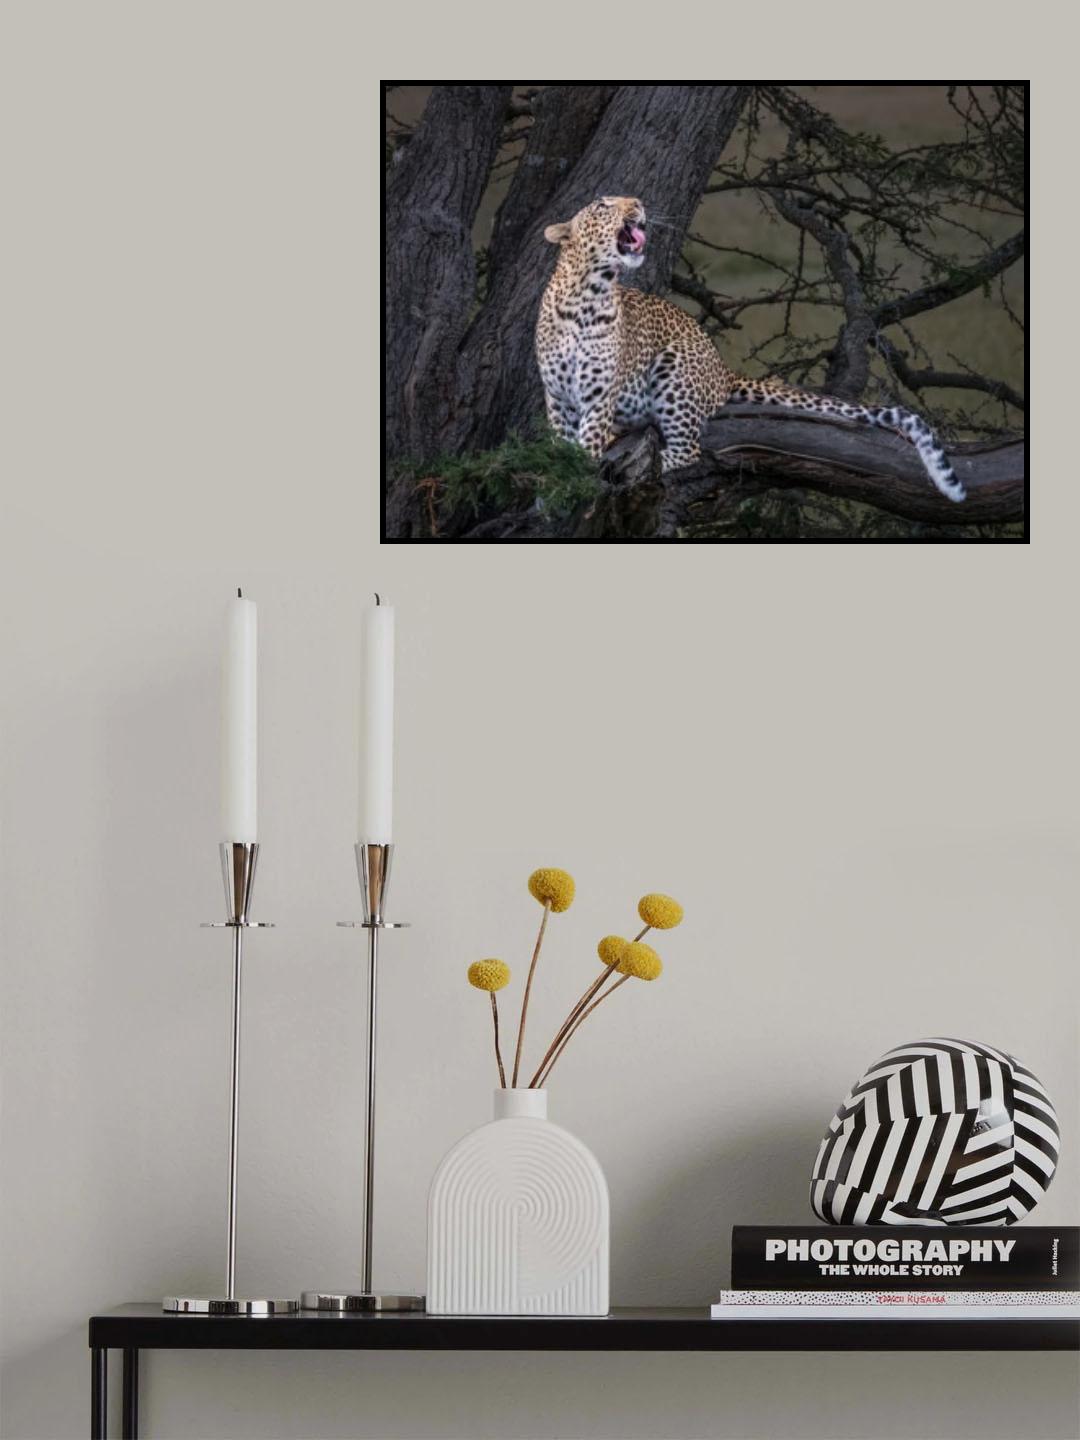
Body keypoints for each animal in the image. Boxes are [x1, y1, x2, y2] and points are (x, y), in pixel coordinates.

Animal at [535, 195, 965, 501]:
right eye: (603, 204)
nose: (638, 203)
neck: (587, 295)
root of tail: (723, 368)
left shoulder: (598, 397)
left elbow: (585, 447)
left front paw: (581, 478)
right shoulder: (557, 398)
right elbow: (560, 445)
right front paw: (557, 478)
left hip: (675, 367)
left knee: (687, 450)